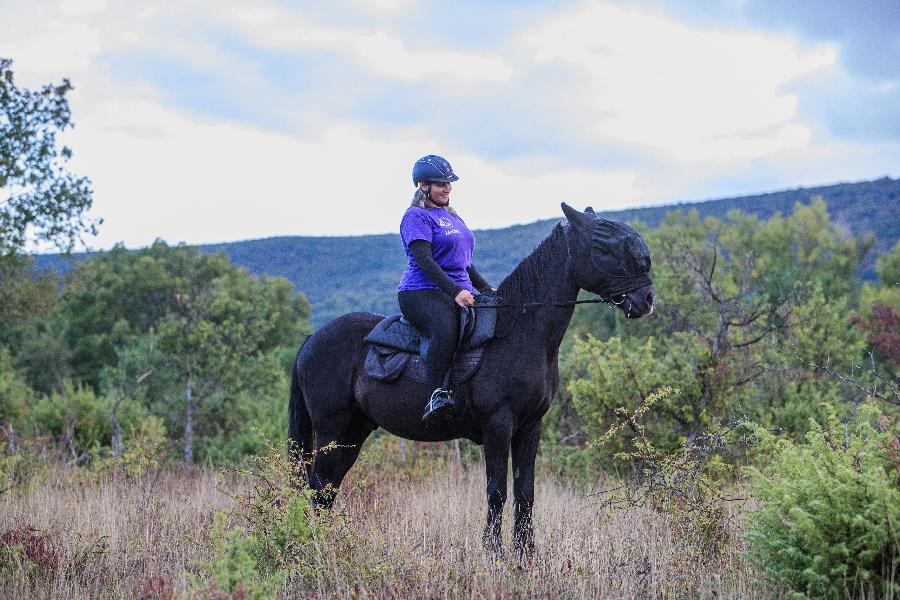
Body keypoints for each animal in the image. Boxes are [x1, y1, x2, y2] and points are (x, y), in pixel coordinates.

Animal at [288, 203, 652, 556]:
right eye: (603, 246)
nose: (647, 300)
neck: (519, 332)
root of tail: (311, 340)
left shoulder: (530, 426)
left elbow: (526, 491)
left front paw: (527, 553)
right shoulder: (498, 425)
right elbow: (497, 491)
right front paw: (494, 552)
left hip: (352, 433)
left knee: (327, 489)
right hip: (332, 430)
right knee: (317, 485)